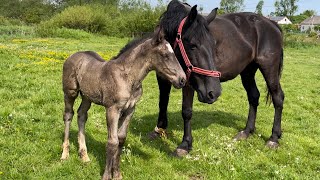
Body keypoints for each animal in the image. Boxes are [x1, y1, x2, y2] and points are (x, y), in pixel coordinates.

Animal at [151, 0, 284, 156]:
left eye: (213, 44)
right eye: (193, 45)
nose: (214, 92)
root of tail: (272, 24)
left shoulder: (189, 82)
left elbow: (187, 111)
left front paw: (184, 145)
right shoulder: (162, 78)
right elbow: (162, 102)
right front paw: (159, 130)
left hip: (269, 69)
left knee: (278, 98)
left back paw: (273, 138)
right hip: (248, 71)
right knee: (253, 96)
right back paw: (246, 131)